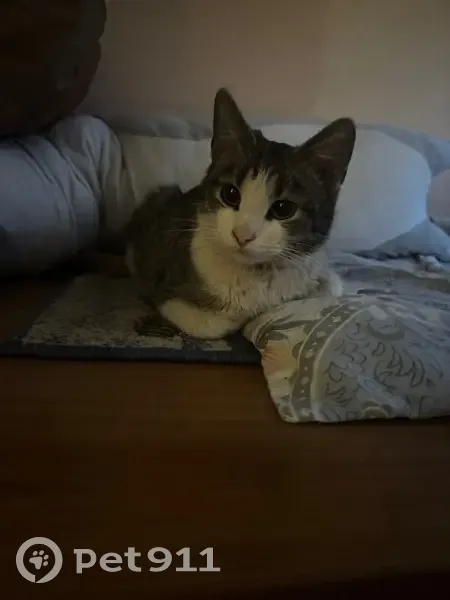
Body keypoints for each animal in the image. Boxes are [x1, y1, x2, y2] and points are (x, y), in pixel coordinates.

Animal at [125, 88, 356, 340]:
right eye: (230, 194)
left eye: (283, 209)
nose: (242, 235)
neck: (255, 276)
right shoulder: (165, 288)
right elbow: (208, 322)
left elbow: (329, 286)